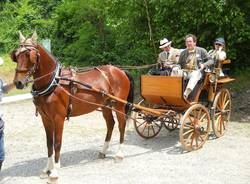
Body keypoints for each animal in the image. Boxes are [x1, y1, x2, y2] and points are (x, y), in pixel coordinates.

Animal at [11, 31, 134, 180]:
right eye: (16, 55)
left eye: (30, 55)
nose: (18, 82)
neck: (54, 81)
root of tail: (119, 71)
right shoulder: (46, 118)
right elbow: (49, 144)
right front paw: (47, 169)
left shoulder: (58, 118)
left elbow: (57, 143)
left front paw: (55, 171)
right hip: (105, 106)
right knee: (111, 124)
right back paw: (103, 151)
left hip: (119, 105)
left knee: (122, 125)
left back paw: (119, 154)